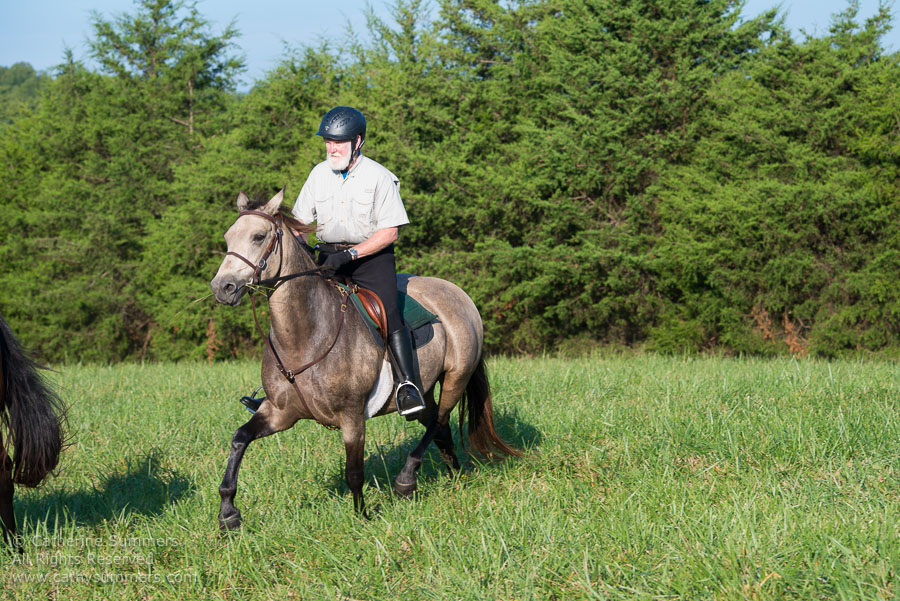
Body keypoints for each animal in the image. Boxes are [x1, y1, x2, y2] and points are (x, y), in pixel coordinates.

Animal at [211, 186, 520, 524]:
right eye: (228, 237)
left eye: (258, 236)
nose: (222, 288)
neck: (305, 338)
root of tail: (459, 294)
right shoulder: (280, 412)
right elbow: (239, 439)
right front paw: (228, 512)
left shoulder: (352, 416)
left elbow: (354, 472)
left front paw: (362, 517)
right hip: (423, 390)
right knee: (439, 428)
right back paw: (455, 475)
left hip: (456, 378)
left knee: (439, 421)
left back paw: (406, 480)